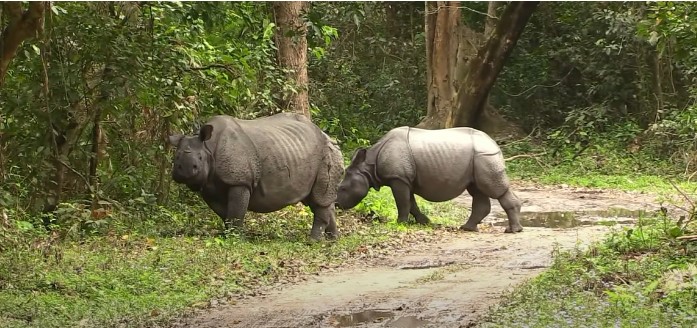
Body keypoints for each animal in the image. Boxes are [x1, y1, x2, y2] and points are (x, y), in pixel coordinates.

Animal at [169, 113, 342, 241]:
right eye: (176, 157)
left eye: (199, 159)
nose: (184, 172)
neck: (208, 147)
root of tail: (327, 135)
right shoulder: (209, 187)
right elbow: (225, 213)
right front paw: (228, 234)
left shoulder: (240, 182)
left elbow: (235, 212)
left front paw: (235, 238)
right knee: (317, 200)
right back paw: (333, 239)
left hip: (327, 152)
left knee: (319, 198)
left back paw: (313, 241)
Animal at [338, 125, 520, 233]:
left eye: (342, 188)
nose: (337, 204)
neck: (369, 165)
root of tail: (494, 143)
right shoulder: (405, 179)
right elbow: (411, 203)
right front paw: (424, 222)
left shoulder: (398, 178)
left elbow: (402, 203)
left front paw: (400, 223)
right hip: (477, 159)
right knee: (477, 190)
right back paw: (467, 228)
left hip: (485, 156)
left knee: (494, 189)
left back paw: (512, 231)